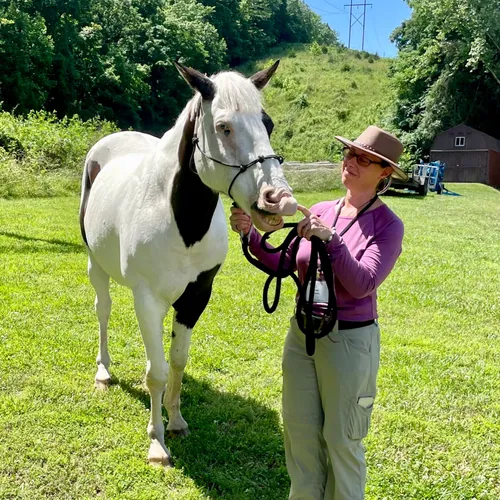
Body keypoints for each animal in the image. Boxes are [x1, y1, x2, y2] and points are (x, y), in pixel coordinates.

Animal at [78, 60, 296, 466]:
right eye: (223, 127)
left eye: (268, 123)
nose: (279, 201)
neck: (179, 222)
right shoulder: (148, 299)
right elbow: (156, 373)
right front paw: (157, 443)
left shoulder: (196, 296)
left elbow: (176, 361)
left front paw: (176, 420)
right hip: (95, 266)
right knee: (103, 310)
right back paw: (103, 371)